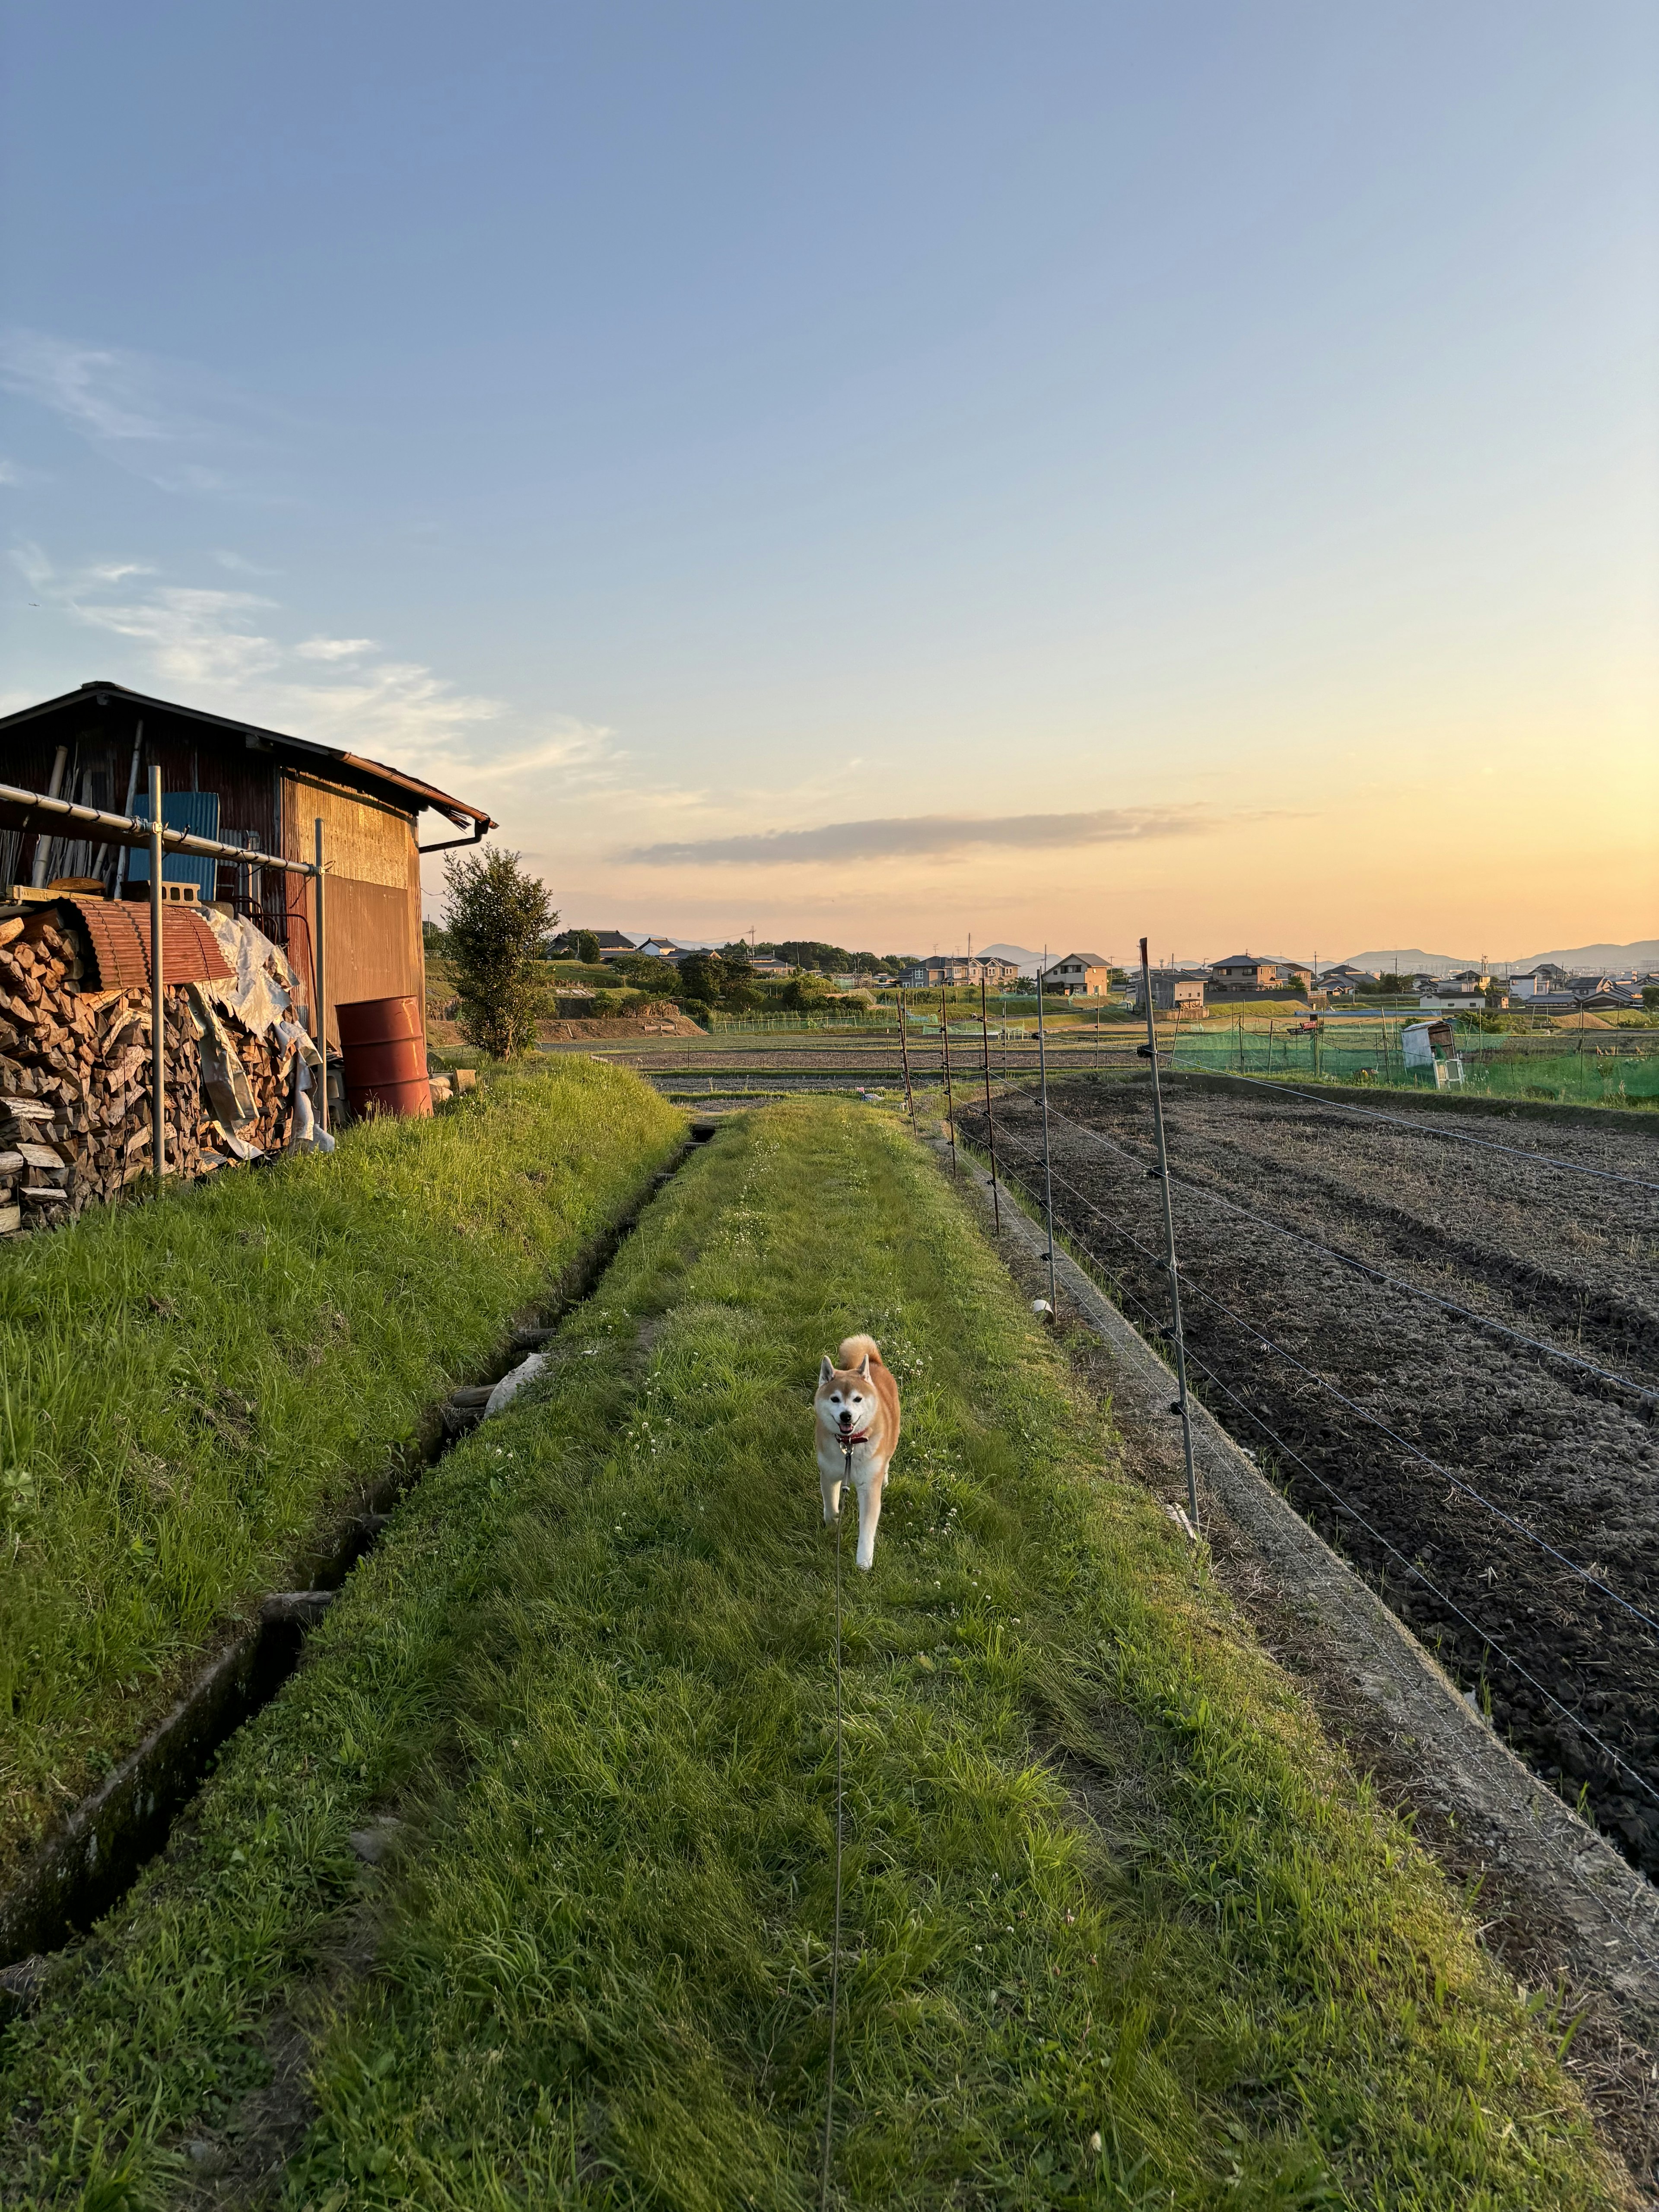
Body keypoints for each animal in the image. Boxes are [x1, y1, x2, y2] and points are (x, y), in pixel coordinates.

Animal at [814, 1327, 902, 1575]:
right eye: (835, 1399)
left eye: (857, 1399)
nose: (846, 1416)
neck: (850, 1446)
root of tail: (873, 1362)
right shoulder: (829, 1475)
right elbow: (830, 1506)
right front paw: (832, 1528)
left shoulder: (868, 1487)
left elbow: (867, 1529)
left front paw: (863, 1561)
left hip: (893, 1437)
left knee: (887, 1459)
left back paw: (885, 1477)